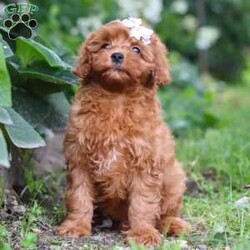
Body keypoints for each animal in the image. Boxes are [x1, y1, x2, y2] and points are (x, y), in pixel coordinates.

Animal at [56, 18, 189, 245]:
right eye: (105, 45)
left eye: (136, 49)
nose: (117, 55)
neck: (116, 97)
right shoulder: (79, 157)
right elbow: (79, 195)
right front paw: (76, 225)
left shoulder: (145, 162)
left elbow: (143, 202)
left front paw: (142, 233)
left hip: (175, 179)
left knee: (165, 213)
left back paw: (172, 224)